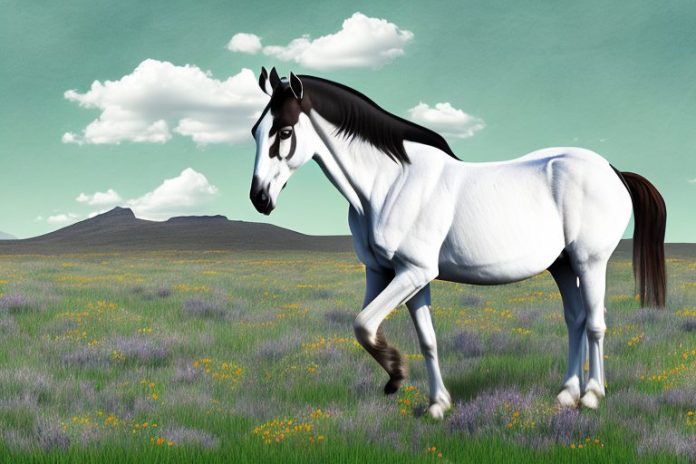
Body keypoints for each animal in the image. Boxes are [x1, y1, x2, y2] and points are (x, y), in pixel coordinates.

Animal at [249, 67, 666, 419]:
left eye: (284, 131)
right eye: (255, 129)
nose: (260, 198)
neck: (389, 183)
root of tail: (612, 170)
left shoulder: (413, 272)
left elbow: (364, 324)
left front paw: (397, 373)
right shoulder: (389, 273)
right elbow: (416, 338)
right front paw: (436, 404)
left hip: (589, 261)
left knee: (595, 323)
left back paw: (592, 396)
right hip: (562, 265)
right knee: (576, 320)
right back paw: (566, 394)